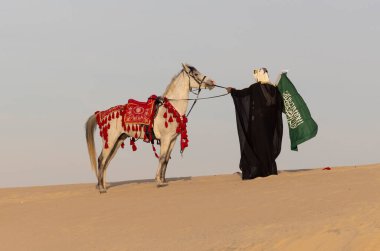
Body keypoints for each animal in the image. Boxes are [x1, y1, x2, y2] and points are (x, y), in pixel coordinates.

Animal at [87, 64, 217, 192]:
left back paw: (104, 185)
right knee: (101, 160)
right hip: (110, 140)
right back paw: (101, 188)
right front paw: (158, 181)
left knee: (107, 161)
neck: (171, 108)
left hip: (118, 141)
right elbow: (162, 158)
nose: (212, 82)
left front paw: (163, 180)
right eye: (195, 74)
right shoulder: (165, 139)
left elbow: (166, 159)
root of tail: (101, 113)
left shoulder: (173, 140)